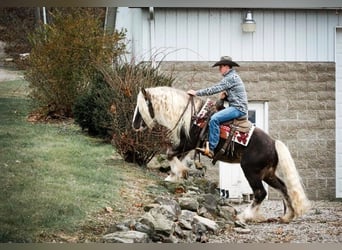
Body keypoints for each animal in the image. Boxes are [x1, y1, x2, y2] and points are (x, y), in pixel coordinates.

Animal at [132, 86, 312, 223]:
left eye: (140, 108)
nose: (134, 126)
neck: (192, 116)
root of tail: (274, 143)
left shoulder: (188, 143)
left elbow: (170, 154)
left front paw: (178, 173)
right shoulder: (187, 146)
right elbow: (177, 157)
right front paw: (173, 176)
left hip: (251, 171)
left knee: (260, 193)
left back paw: (243, 216)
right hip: (267, 173)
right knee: (283, 187)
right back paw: (287, 216)